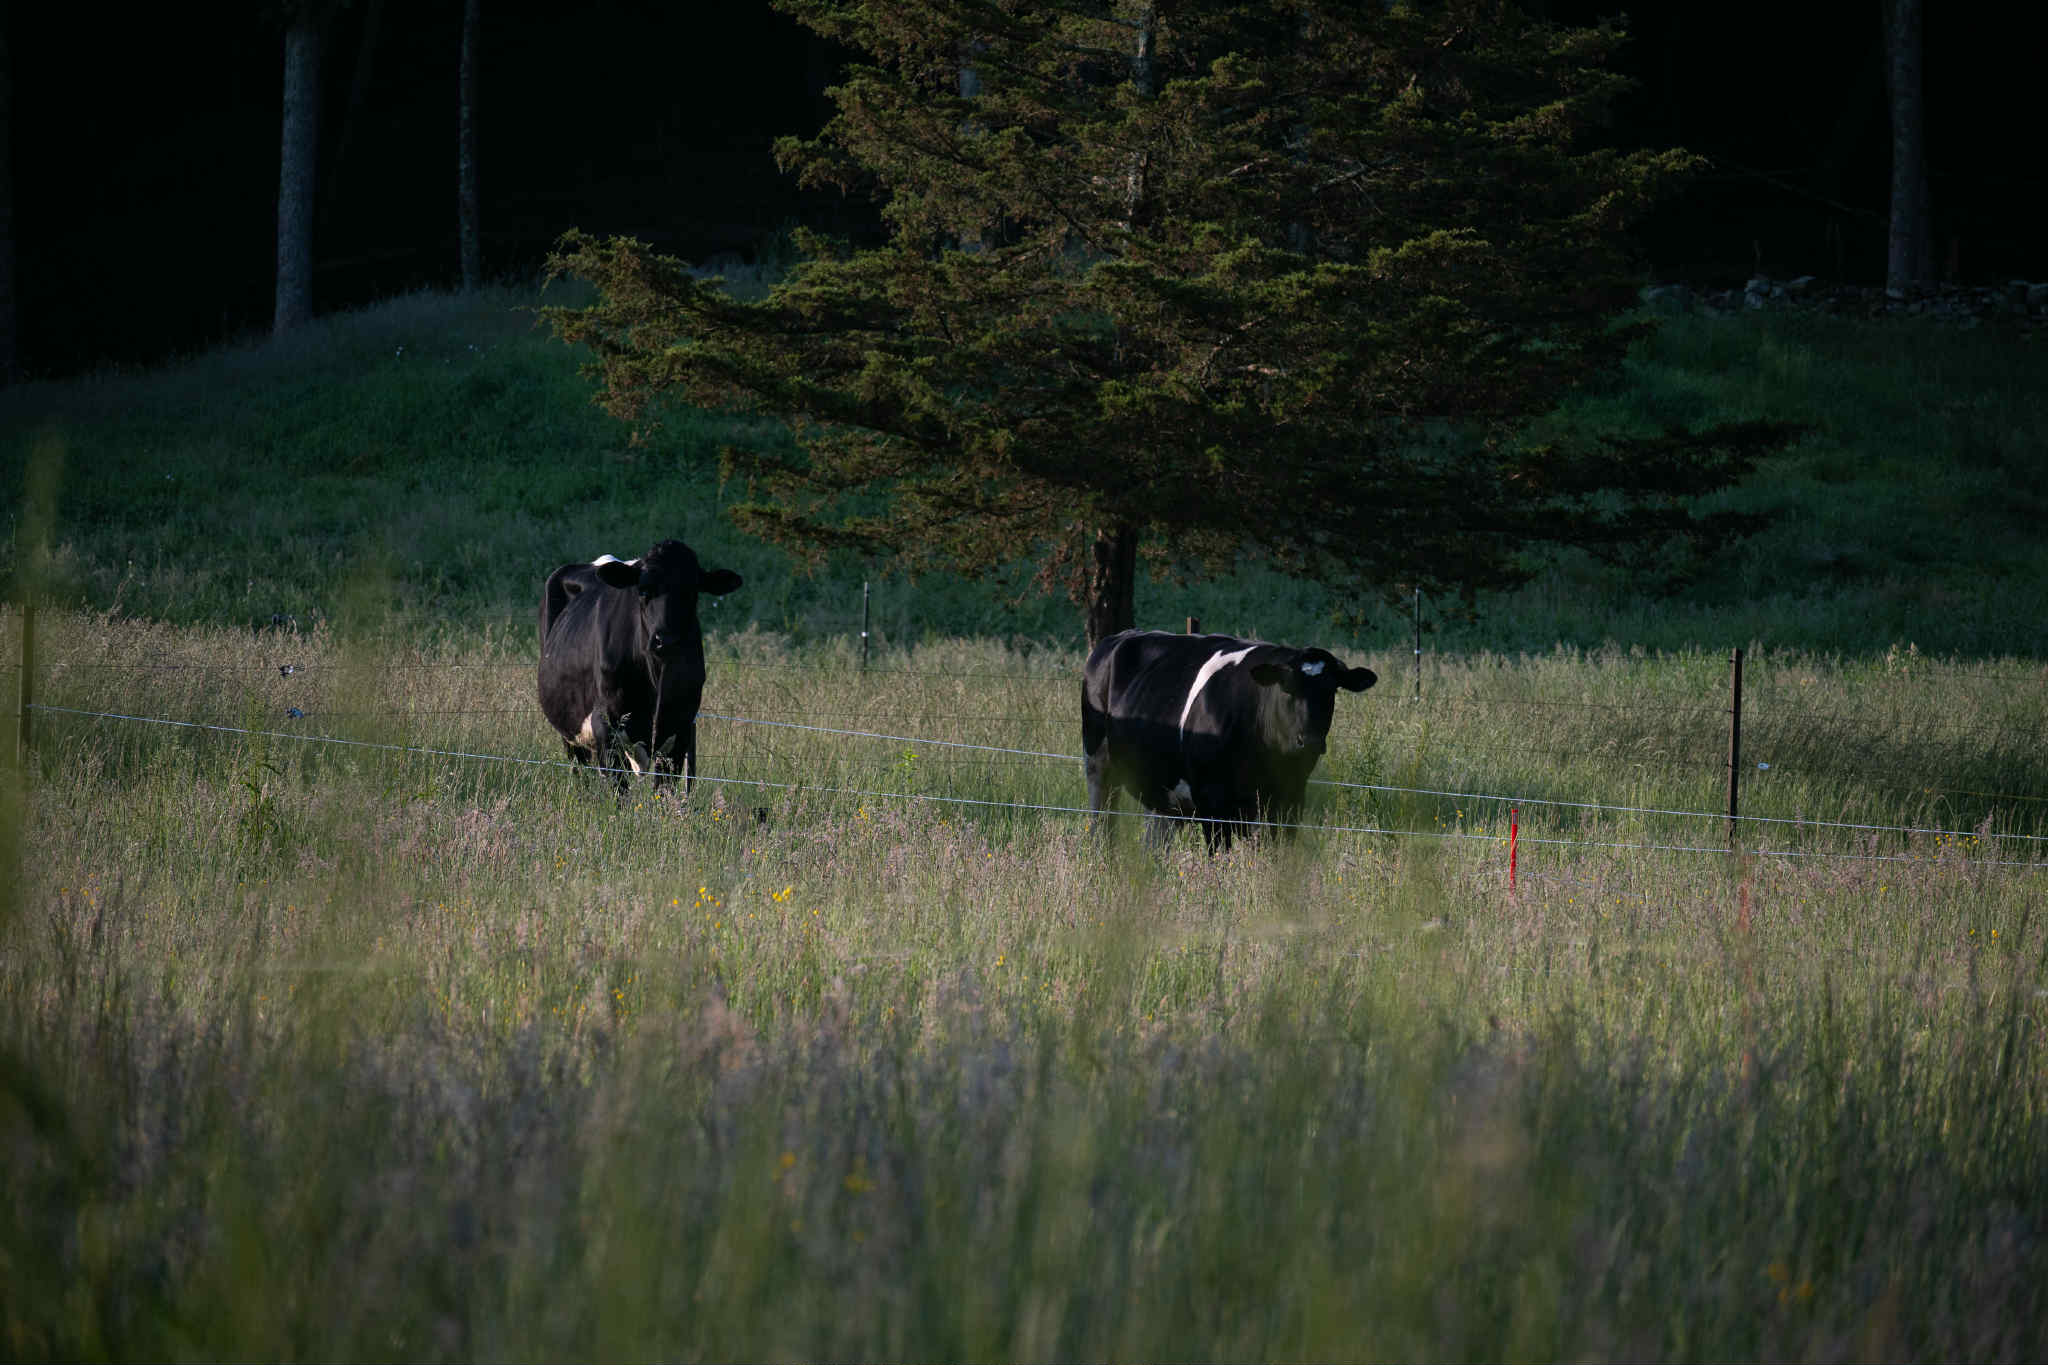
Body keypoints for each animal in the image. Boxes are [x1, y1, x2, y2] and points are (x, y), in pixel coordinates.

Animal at [537, 540, 743, 796]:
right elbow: (620, 791)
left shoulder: (681, 727)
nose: (666, 640)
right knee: (581, 771)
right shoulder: (605, 725)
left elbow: (664, 792)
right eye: (643, 591)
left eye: (692, 593)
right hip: (570, 732)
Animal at [1082, 629, 1376, 850]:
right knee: (1102, 822)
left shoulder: (1290, 798)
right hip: (1099, 765)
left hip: (1161, 787)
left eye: (1332, 690)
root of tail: (1118, 636)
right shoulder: (1212, 802)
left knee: (1156, 836)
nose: (1311, 741)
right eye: (1287, 687)